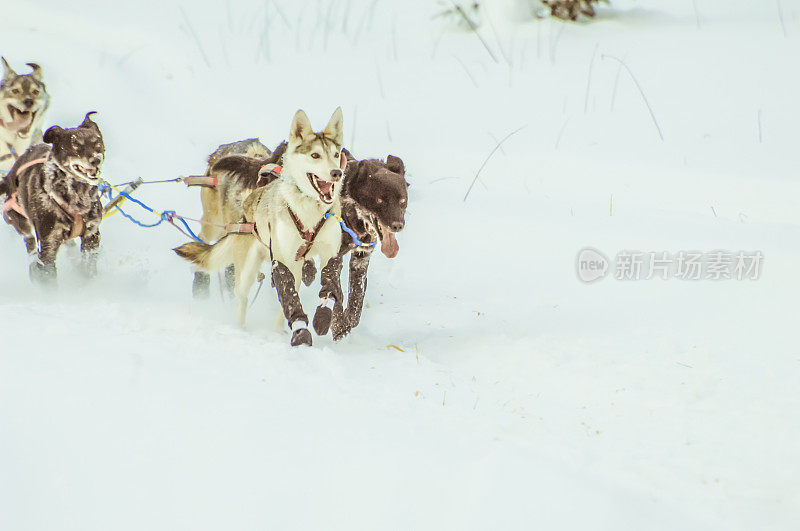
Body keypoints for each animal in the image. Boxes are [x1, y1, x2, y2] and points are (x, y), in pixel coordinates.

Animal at [0, 111, 105, 282]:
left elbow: (88, 267)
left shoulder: (92, 234)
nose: (96, 159)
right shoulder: (48, 244)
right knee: (30, 244)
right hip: (20, 222)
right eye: (75, 144)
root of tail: (8, 177)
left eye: (97, 143)